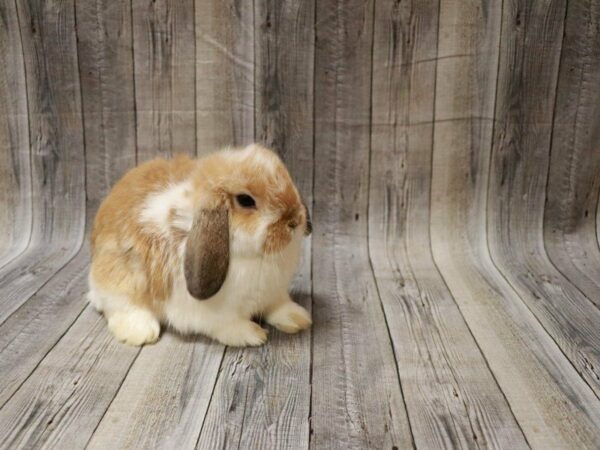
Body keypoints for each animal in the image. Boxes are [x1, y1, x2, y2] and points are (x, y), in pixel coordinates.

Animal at [90, 142, 314, 346]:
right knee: (120, 305)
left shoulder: (274, 294)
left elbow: (278, 307)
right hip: (121, 279)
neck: (254, 258)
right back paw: (140, 332)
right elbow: (228, 325)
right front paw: (253, 334)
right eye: (245, 200)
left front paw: (298, 318)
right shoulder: (212, 313)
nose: (294, 221)